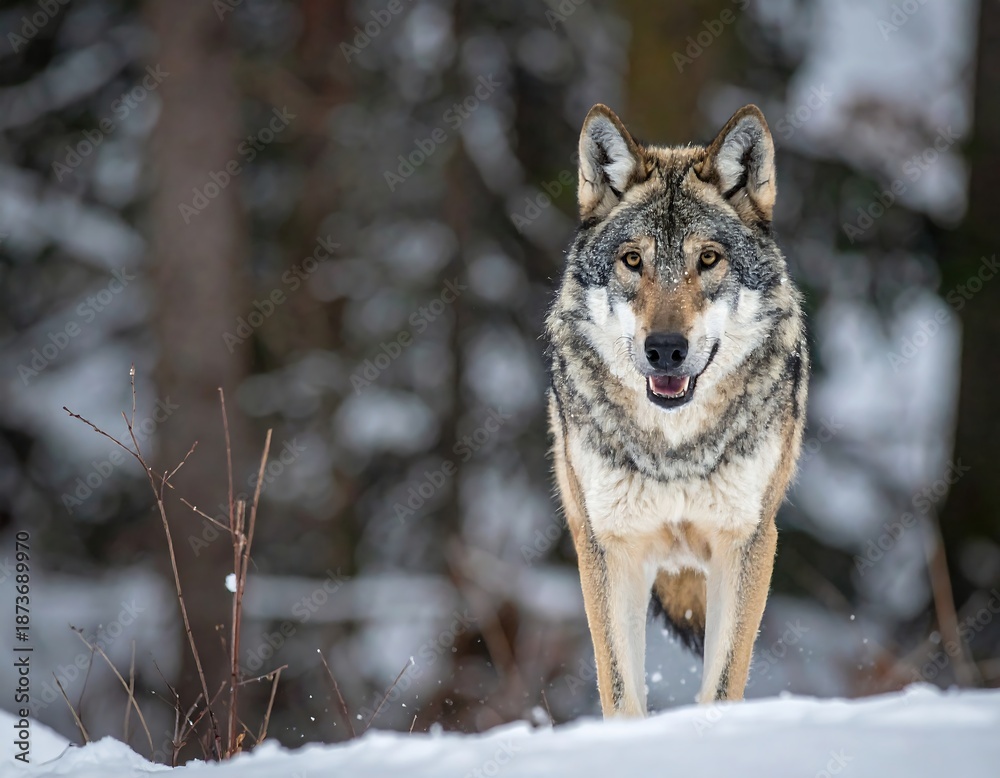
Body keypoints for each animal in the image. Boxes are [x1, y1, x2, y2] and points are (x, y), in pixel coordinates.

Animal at [545, 103, 808, 717]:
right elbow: (621, 693)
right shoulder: (607, 547)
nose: (665, 349)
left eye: (707, 258)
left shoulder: (747, 542)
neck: (675, 450)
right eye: (632, 260)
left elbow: (722, 683)